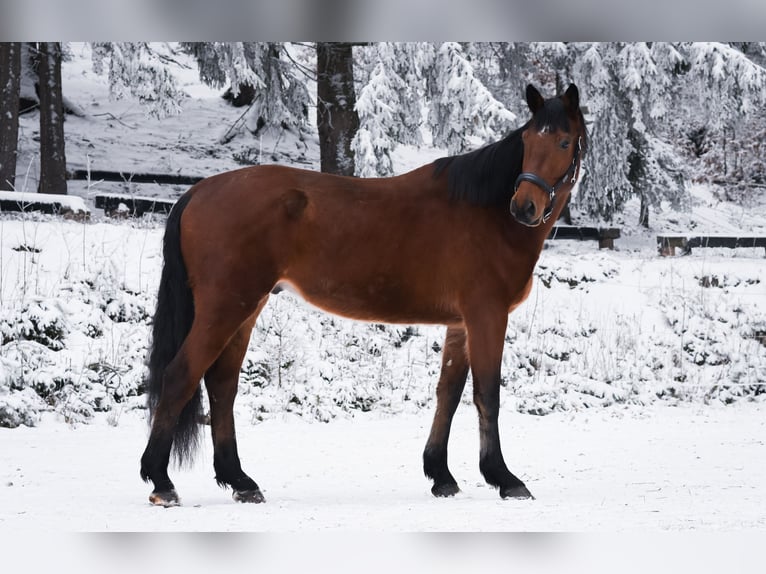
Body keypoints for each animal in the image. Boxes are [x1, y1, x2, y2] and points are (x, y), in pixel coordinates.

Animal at [140, 83, 587, 506]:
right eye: (528, 141)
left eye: (564, 142)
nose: (524, 207)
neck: (484, 213)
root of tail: (197, 192)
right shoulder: (487, 315)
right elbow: (487, 394)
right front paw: (504, 478)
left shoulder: (460, 324)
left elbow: (449, 394)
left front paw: (441, 475)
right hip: (225, 307)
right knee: (181, 376)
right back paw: (161, 482)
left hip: (245, 309)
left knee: (222, 385)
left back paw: (240, 481)